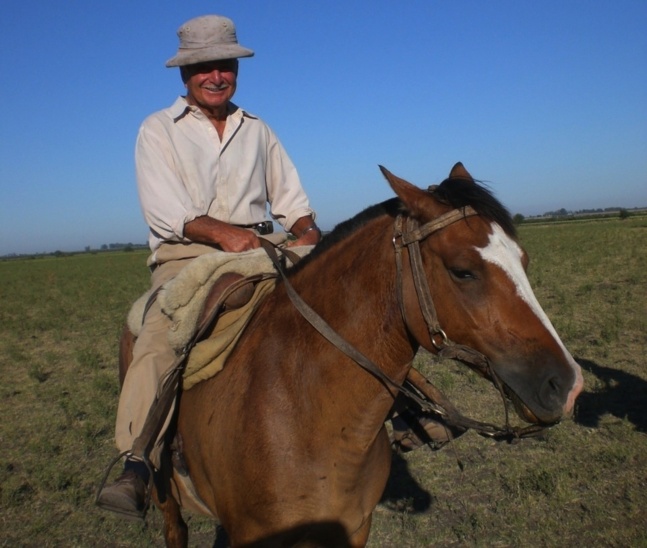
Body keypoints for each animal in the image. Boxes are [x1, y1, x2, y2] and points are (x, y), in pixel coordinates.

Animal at [119, 164, 584, 548]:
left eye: (523, 260)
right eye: (462, 270)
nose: (567, 385)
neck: (302, 408)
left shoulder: (352, 527)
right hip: (164, 493)